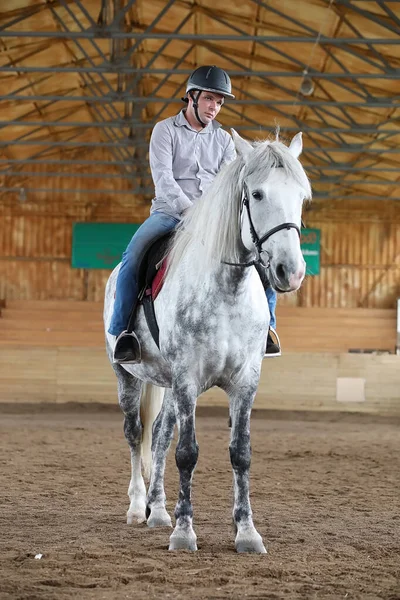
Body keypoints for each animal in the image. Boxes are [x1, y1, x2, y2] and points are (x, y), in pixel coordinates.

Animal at [104, 130, 312, 552]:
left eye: (301, 196)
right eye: (257, 194)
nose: (292, 272)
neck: (227, 291)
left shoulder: (245, 382)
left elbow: (240, 453)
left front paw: (247, 532)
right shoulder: (187, 378)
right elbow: (187, 453)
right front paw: (185, 533)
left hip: (166, 385)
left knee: (159, 436)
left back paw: (158, 511)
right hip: (127, 376)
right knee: (135, 434)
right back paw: (137, 508)